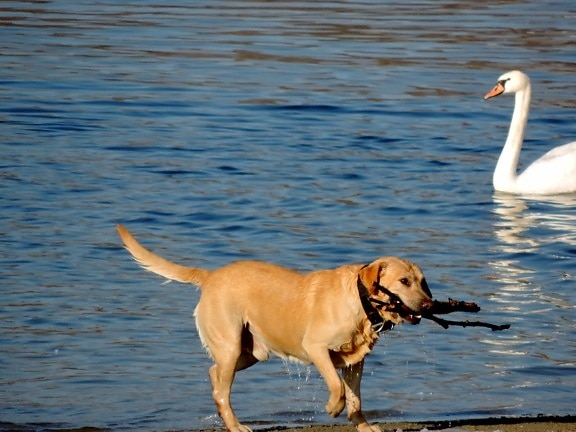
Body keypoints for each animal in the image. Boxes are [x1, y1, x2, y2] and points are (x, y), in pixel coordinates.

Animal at [117, 224, 432, 430]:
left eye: (422, 281)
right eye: (404, 281)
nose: (429, 304)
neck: (361, 300)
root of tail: (210, 276)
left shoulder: (355, 362)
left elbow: (355, 400)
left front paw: (364, 426)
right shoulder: (316, 348)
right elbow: (337, 387)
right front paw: (332, 407)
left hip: (250, 353)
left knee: (214, 374)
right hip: (231, 346)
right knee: (221, 389)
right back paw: (235, 425)